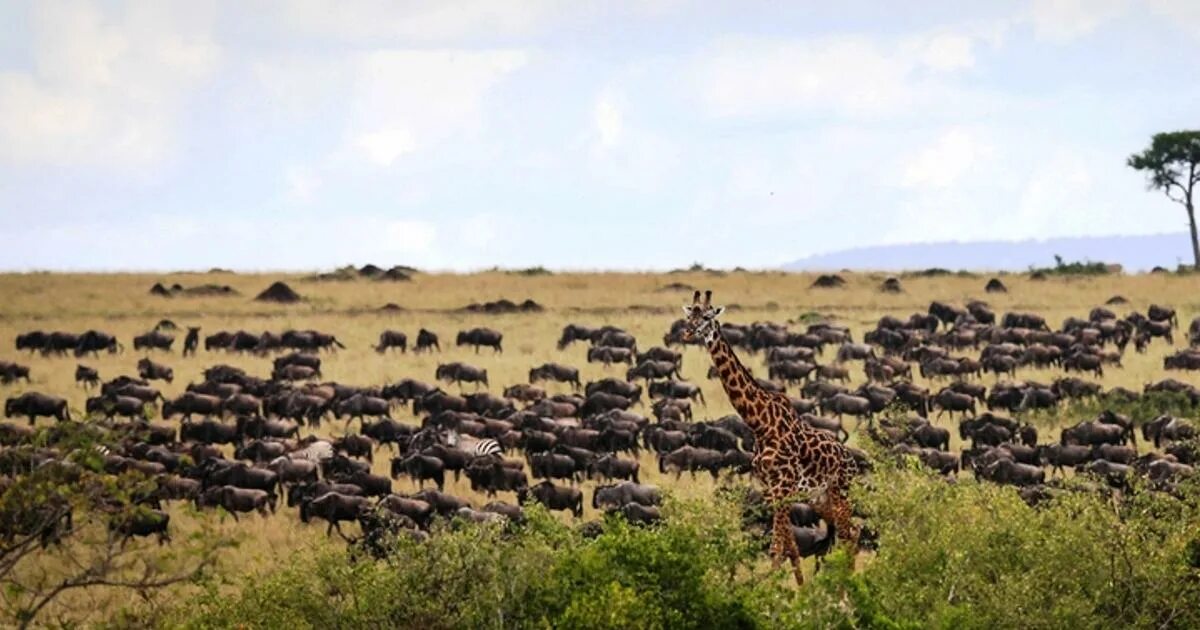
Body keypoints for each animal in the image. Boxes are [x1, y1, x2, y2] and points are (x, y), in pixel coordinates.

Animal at [681, 290, 859, 585]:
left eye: (706, 317)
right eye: (688, 316)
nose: (687, 333)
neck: (759, 424)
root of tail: (850, 460)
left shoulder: (783, 488)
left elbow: (777, 546)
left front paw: (773, 592)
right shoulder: (771, 489)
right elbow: (790, 546)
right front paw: (798, 587)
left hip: (840, 490)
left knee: (849, 534)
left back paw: (848, 588)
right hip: (819, 498)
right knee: (849, 532)